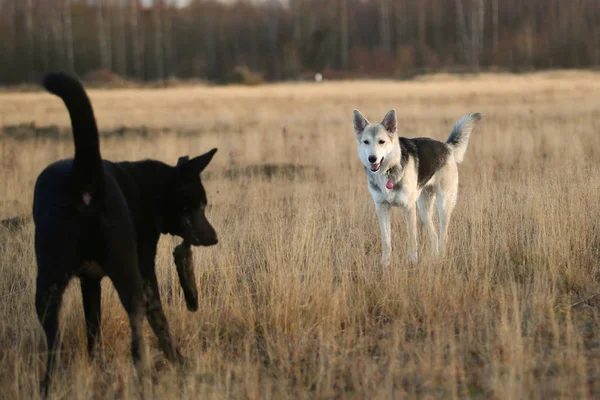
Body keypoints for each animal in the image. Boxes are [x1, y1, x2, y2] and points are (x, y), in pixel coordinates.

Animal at [34, 73, 219, 396]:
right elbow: (158, 318)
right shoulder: (144, 266)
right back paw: (143, 375)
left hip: (49, 279)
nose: (214, 237)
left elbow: (92, 327)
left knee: (53, 338)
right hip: (125, 270)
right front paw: (178, 361)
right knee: (136, 322)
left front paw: (96, 367)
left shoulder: (89, 280)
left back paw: (48, 386)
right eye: (199, 204)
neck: (152, 188)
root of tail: (83, 181)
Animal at [354, 109, 480, 266]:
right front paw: (385, 264)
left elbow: (412, 239)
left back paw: (442, 257)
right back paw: (434, 258)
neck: (388, 170)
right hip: (423, 209)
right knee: (434, 235)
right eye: (366, 142)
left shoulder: (409, 208)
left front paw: (412, 262)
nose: (372, 158)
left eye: (381, 142)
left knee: (443, 236)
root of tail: (446, 146)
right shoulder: (382, 207)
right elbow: (386, 241)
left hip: (443, 205)